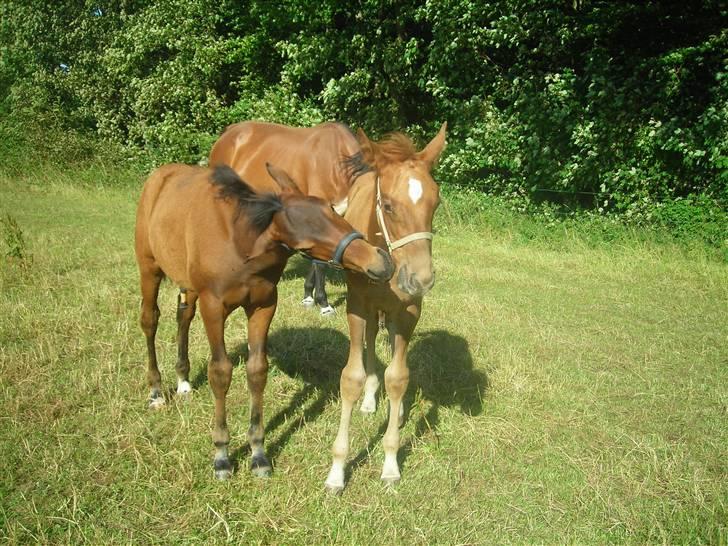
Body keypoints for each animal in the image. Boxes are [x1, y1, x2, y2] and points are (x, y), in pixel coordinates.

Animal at [133, 163, 390, 476]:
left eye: (331, 209)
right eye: (305, 243)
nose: (379, 262)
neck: (240, 243)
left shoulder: (263, 305)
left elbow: (257, 370)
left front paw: (258, 452)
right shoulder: (213, 306)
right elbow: (220, 372)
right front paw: (222, 455)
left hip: (187, 282)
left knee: (183, 315)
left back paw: (183, 379)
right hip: (149, 268)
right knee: (150, 320)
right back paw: (156, 391)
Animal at [326, 124, 450, 492]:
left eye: (436, 202)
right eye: (390, 206)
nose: (421, 279)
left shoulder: (409, 311)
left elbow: (398, 378)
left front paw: (391, 462)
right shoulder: (356, 305)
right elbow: (350, 377)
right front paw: (337, 469)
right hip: (368, 309)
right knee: (368, 342)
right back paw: (369, 399)